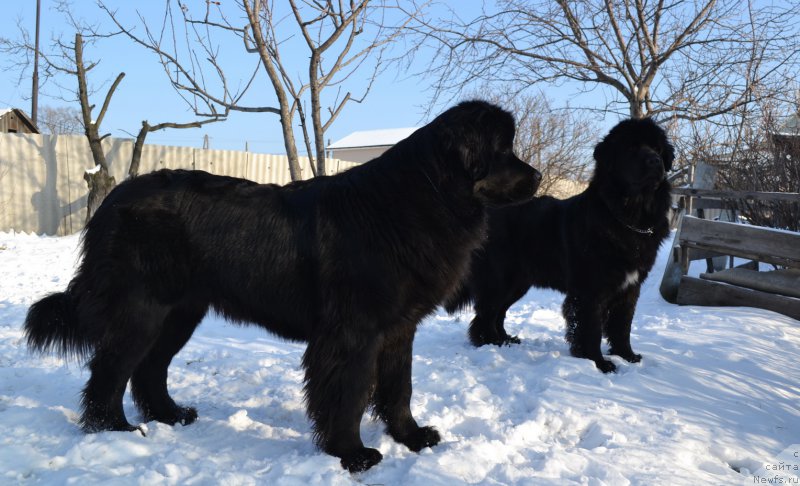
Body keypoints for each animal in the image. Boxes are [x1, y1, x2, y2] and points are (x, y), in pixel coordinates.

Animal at [25, 101, 540, 470]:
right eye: (502, 149)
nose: (536, 176)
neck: (421, 199)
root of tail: (113, 198)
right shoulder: (353, 333)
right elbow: (350, 394)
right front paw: (352, 454)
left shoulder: (399, 328)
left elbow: (399, 389)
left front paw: (411, 438)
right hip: (142, 308)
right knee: (110, 370)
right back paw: (114, 430)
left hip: (180, 312)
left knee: (149, 368)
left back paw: (170, 415)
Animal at [446, 117, 672, 372]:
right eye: (632, 148)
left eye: (658, 149)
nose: (655, 161)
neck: (628, 217)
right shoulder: (590, 290)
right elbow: (590, 329)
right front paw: (599, 363)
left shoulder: (630, 288)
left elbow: (622, 326)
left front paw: (627, 356)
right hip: (499, 280)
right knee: (485, 314)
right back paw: (490, 343)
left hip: (517, 283)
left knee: (498, 313)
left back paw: (506, 339)